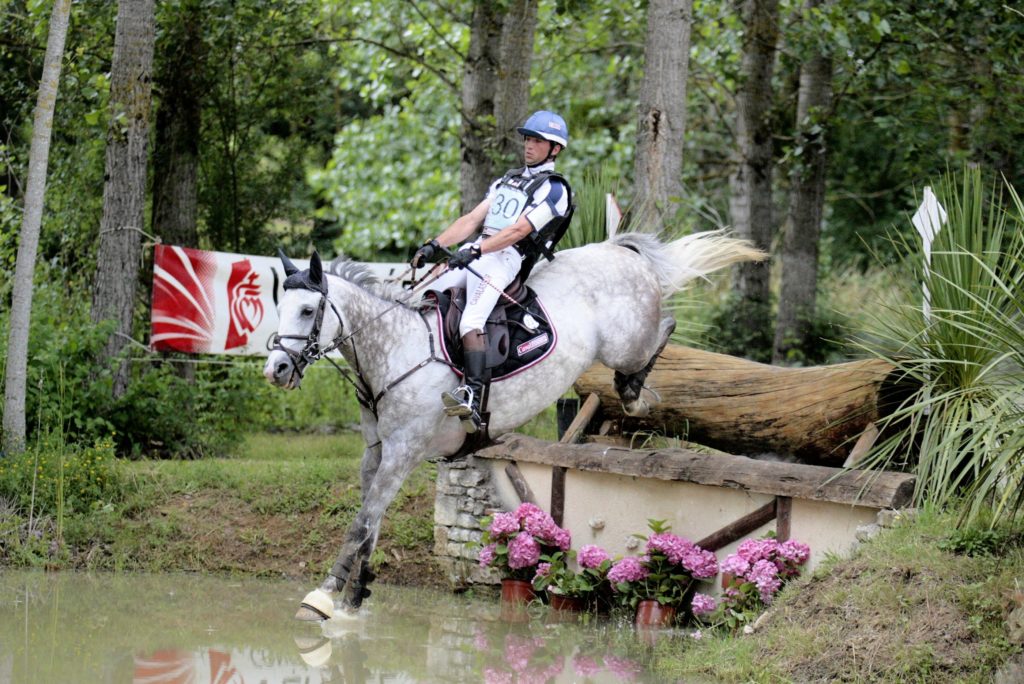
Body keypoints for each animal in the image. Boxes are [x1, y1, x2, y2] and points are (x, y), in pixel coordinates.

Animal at [262, 229, 761, 618]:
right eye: (279, 307)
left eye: (308, 311)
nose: (277, 370)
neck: (396, 351)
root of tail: (617, 249)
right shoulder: (378, 453)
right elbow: (371, 523)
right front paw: (354, 598)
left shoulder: (403, 453)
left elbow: (362, 523)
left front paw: (323, 597)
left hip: (626, 343)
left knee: (666, 327)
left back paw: (634, 392)